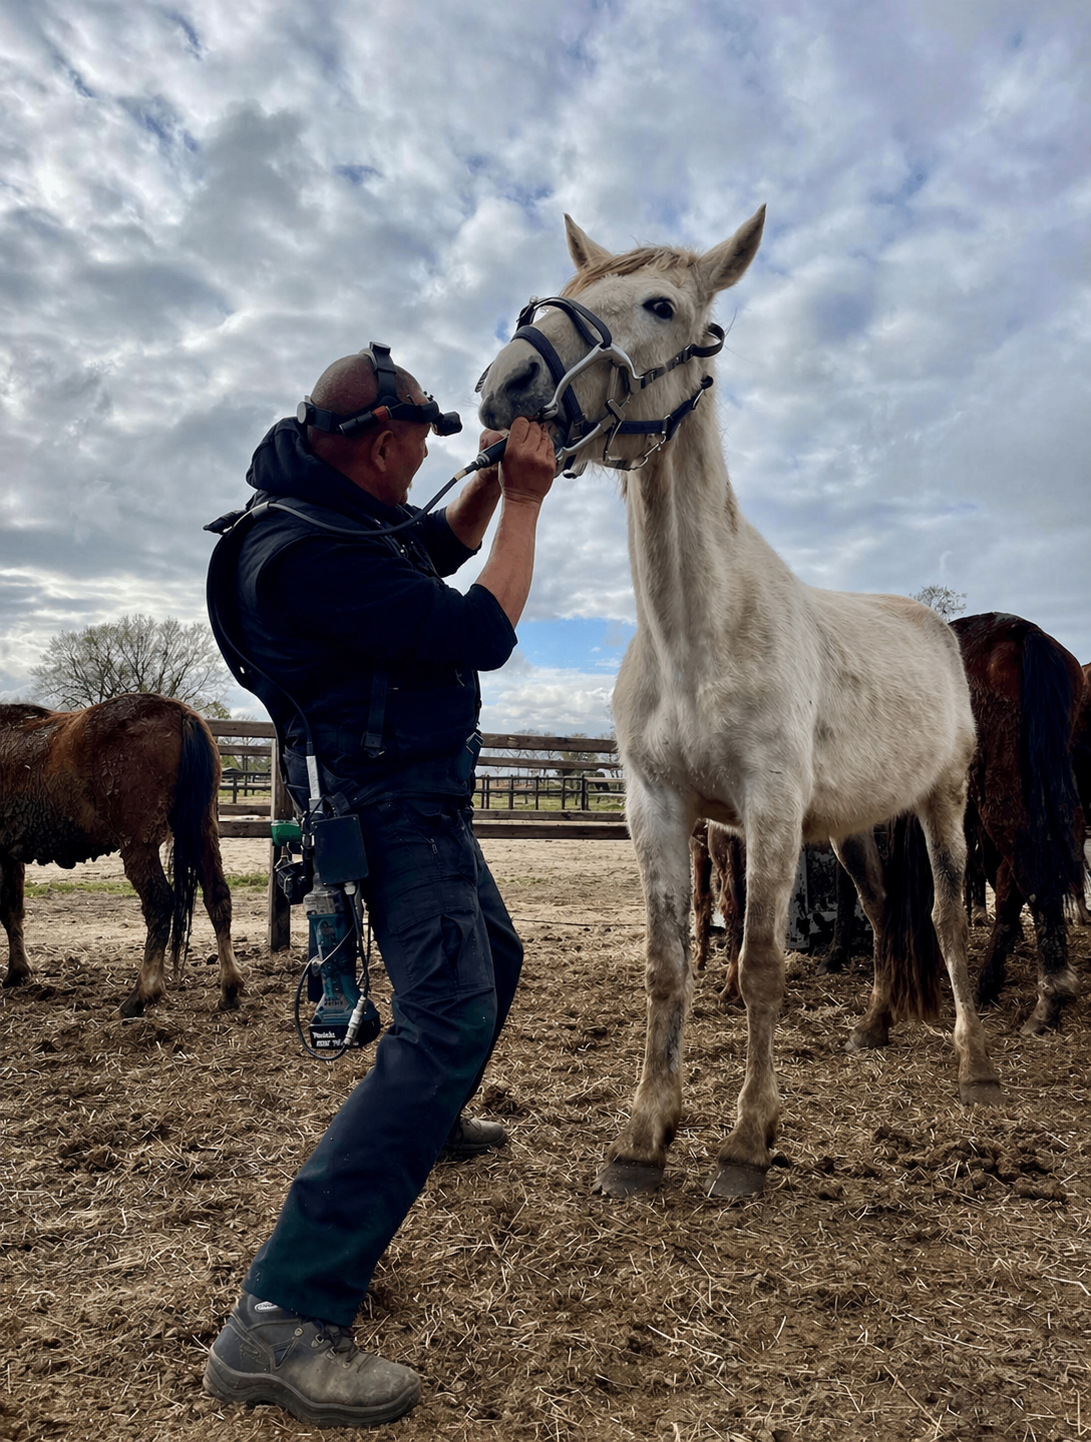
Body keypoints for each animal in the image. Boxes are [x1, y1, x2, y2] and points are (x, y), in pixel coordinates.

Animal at [0, 694, 244, 1017]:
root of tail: (179, 712)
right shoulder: (10, 856)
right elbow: (12, 911)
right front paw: (18, 972)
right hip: (202, 831)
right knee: (218, 897)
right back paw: (229, 988)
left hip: (139, 846)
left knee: (159, 904)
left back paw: (142, 994)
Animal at [479, 205, 1000, 1200]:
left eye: (659, 304)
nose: (507, 384)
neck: (699, 636)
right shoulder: (658, 809)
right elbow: (666, 965)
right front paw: (643, 1138)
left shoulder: (767, 810)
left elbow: (760, 966)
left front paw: (746, 1142)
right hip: (853, 825)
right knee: (884, 913)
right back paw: (873, 1027)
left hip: (940, 801)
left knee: (948, 920)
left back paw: (974, 1064)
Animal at [950, 614, 1086, 1032]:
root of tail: (1020, 631)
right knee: (1014, 881)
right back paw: (988, 983)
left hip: (999, 790)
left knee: (1028, 871)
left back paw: (1050, 994)